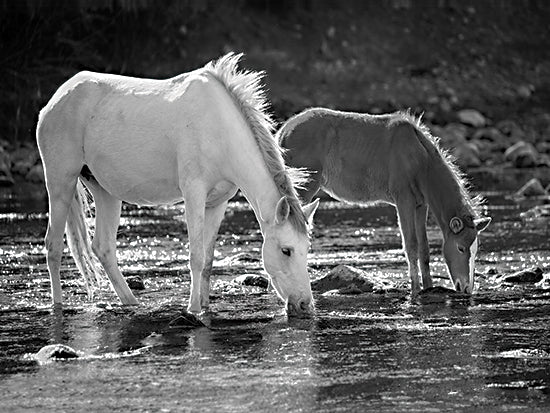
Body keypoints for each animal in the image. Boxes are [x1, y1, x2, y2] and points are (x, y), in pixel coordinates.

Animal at [36, 54, 322, 318]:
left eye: (307, 248)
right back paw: (57, 306)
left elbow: (208, 259)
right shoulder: (193, 193)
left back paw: (131, 303)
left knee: (103, 248)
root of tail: (55, 100)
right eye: (286, 250)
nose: (304, 304)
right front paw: (193, 308)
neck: (220, 131)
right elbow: (196, 256)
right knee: (53, 246)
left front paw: (206, 306)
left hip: (105, 190)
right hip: (61, 180)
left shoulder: (218, 202)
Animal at [280, 107, 492, 292]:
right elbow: (411, 245)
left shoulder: (420, 205)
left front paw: (429, 287)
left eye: (475, 250)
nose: (467, 289)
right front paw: (415, 290)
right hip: (304, 188)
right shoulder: (404, 201)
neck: (420, 160)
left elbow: (424, 248)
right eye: (461, 248)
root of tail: (284, 130)